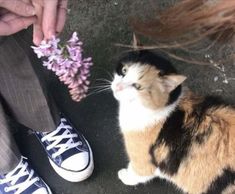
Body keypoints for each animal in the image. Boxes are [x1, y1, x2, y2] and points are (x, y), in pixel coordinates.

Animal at [111, 50, 235, 194]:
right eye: (124, 70)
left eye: (137, 86)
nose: (118, 87)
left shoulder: (144, 161)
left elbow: (137, 173)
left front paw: (124, 175)